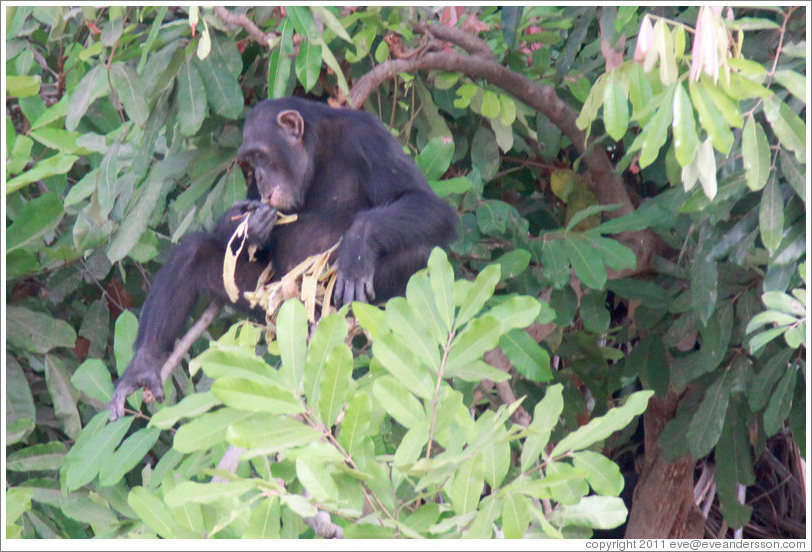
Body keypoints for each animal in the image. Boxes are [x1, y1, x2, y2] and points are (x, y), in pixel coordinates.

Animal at [109, 97, 456, 420]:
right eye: (250, 163)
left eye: (261, 156)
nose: (261, 177)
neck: (316, 152)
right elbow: (231, 234)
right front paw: (252, 227)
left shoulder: (369, 138)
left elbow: (427, 204)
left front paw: (358, 245)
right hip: (267, 295)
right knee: (192, 253)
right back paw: (142, 367)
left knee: (418, 250)